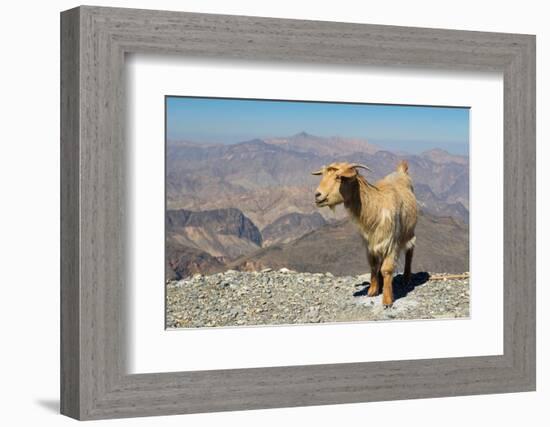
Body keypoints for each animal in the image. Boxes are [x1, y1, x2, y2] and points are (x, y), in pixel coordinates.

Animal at [314, 161, 418, 308]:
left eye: (339, 177)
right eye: (323, 175)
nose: (317, 195)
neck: (376, 206)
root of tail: (401, 171)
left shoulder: (391, 242)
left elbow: (386, 269)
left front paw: (387, 300)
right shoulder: (370, 243)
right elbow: (374, 266)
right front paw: (373, 291)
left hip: (410, 231)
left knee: (410, 250)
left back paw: (406, 277)